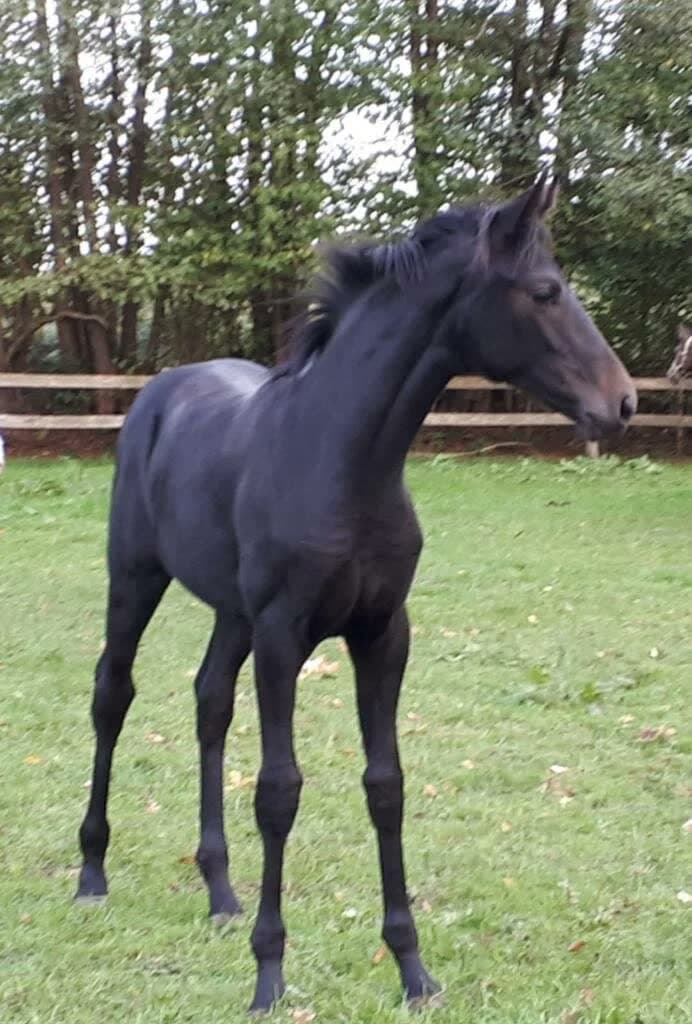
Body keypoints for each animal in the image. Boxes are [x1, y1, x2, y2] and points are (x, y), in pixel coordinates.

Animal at [75, 172, 636, 1013]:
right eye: (545, 291)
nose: (623, 402)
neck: (345, 459)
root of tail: (160, 392)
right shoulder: (284, 636)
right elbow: (279, 791)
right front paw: (270, 975)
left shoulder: (382, 633)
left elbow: (386, 786)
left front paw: (412, 969)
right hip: (136, 579)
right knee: (113, 695)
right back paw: (91, 873)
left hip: (232, 613)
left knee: (210, 701)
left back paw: (221, 892)